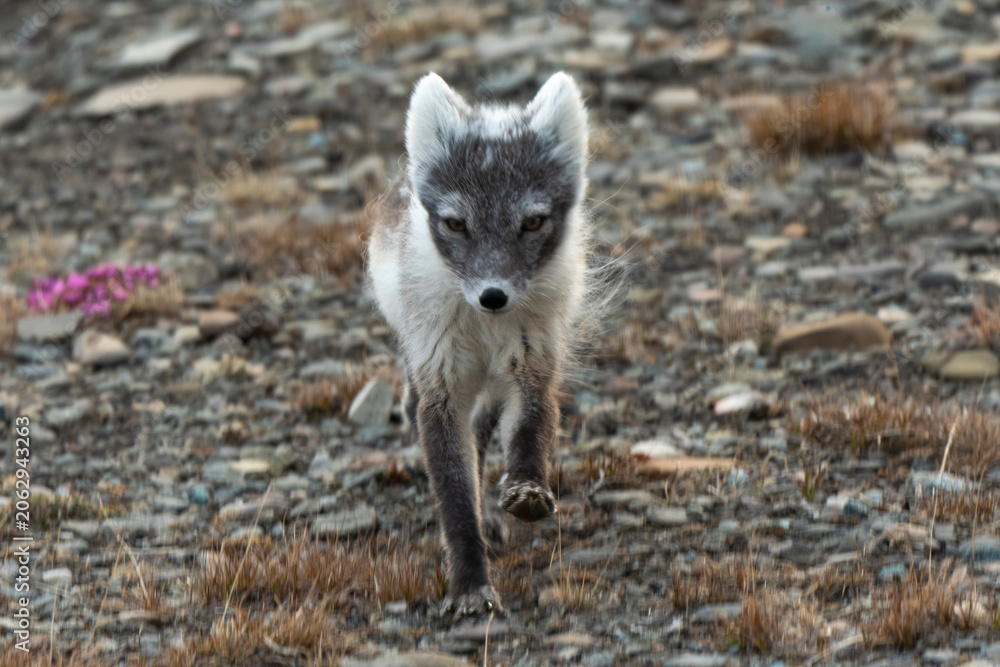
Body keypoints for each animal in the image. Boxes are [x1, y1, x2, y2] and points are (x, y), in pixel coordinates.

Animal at [367, 71, 595, 617]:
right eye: (456, 223)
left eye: (532, 222)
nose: (493, 297)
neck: (487, 329)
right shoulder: (441, 385)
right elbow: (453, 491)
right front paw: (469, 583)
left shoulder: (534, 364)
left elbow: (532, 426)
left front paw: (527, 489)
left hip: (493, 383)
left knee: (484, 429)